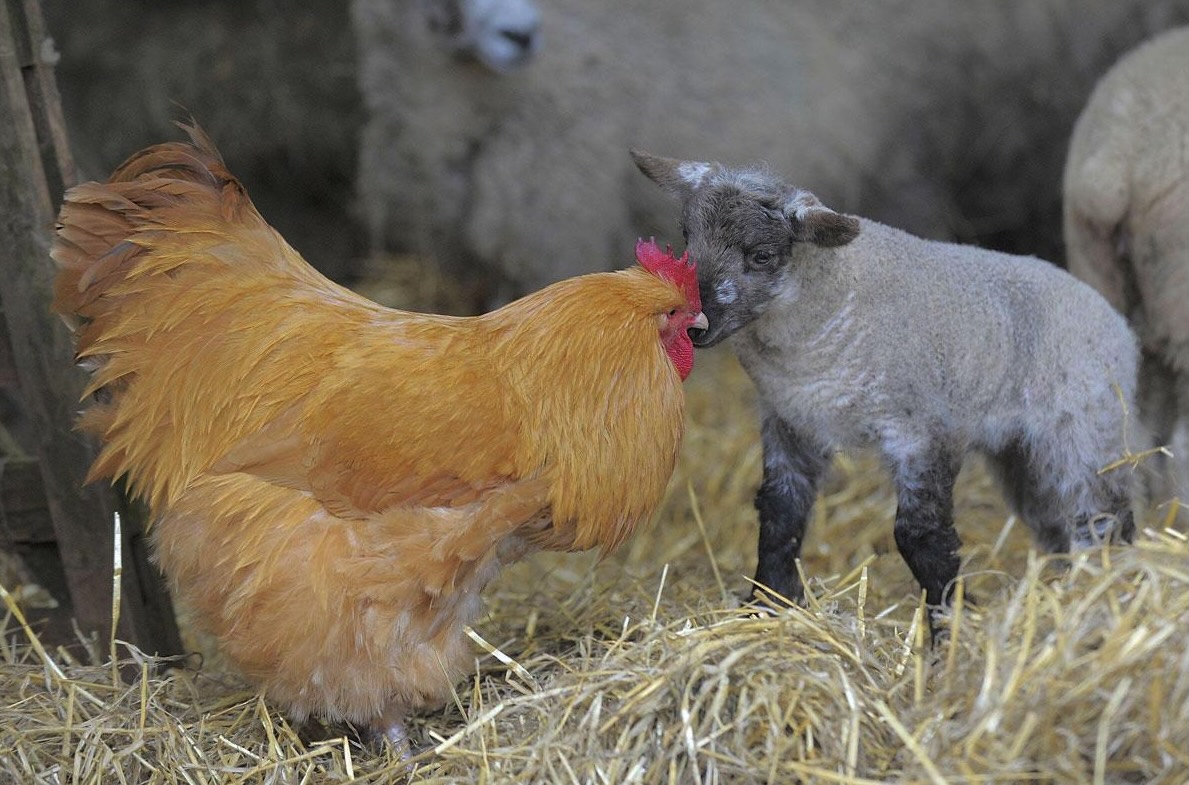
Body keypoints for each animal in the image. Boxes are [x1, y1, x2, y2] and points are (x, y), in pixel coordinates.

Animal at [633, 150, 1140, 616]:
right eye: (687, 236)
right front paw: (768, 604)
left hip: (1086, 427)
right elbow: (779, 514)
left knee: (1102, 515)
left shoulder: (925, 430)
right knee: (1054, 516)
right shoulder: (791, 419)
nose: (693, 326)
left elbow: (921, 536)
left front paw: (950, 625)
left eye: (761, 255)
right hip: (1023, 452)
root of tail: (1120, 327)